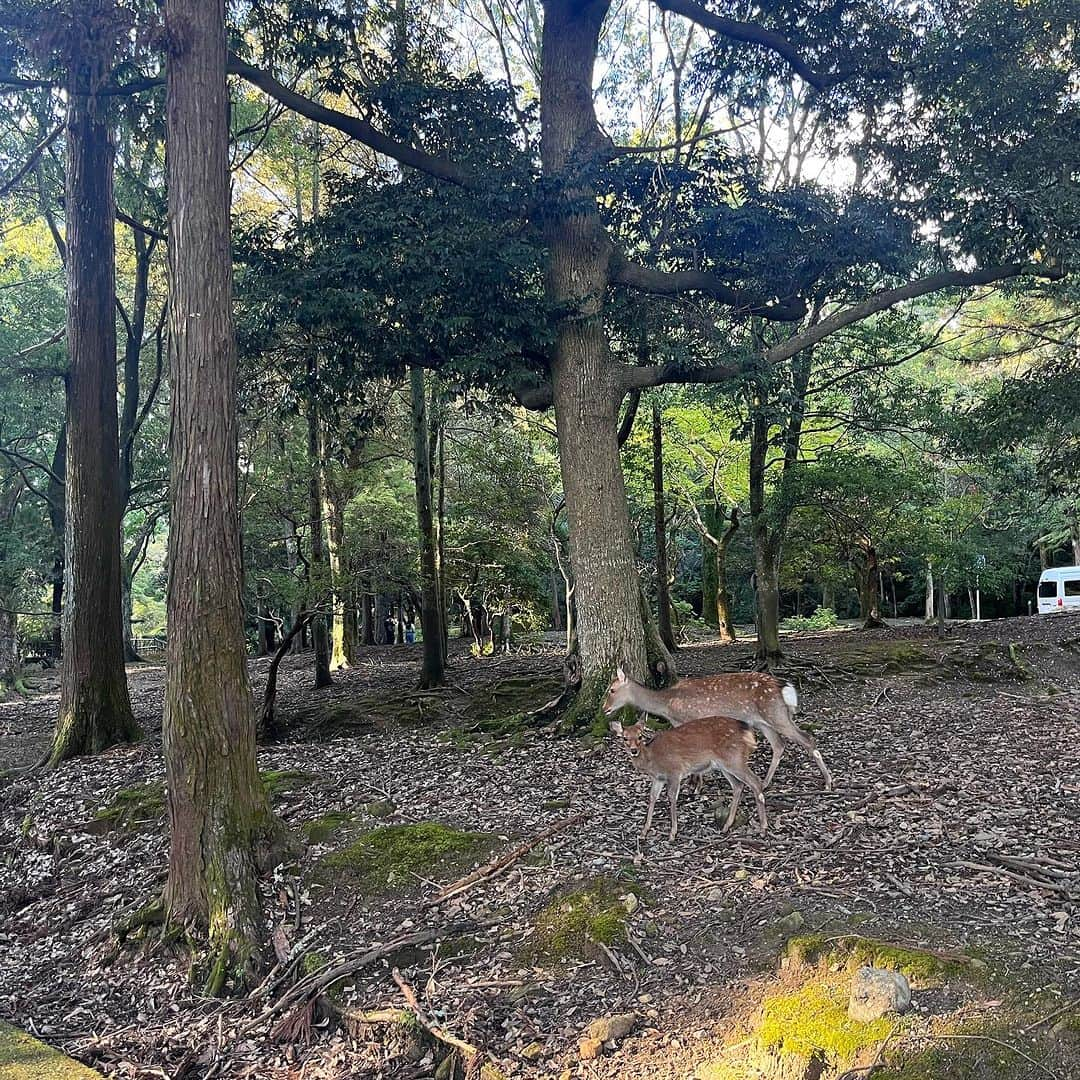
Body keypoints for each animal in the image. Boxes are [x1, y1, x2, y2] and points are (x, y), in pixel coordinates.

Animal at [604, 660, 829, 790]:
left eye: (612, 690)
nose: (604, 709)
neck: (668, 705)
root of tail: (785, 687)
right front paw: (694, 783)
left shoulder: (690, 719)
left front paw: (696, 785)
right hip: (762, 720)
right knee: (779, 745)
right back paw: (765, 782)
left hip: (777, 715)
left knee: (807, 739)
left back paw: (828, 782)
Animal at [609, 721, 768, 838]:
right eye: (624, 738)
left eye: (640, 736)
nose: (634, 750)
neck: (652, 759)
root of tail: (750, 735)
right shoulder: (658, 778)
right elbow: (652, 797)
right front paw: (644, 831)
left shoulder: (674, 771)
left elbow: (672, 797)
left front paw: (672, 833)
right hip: (724, 764)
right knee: (738, 785)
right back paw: (726, 826)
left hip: (734, 759)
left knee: (755, 781)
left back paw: (763, 828)